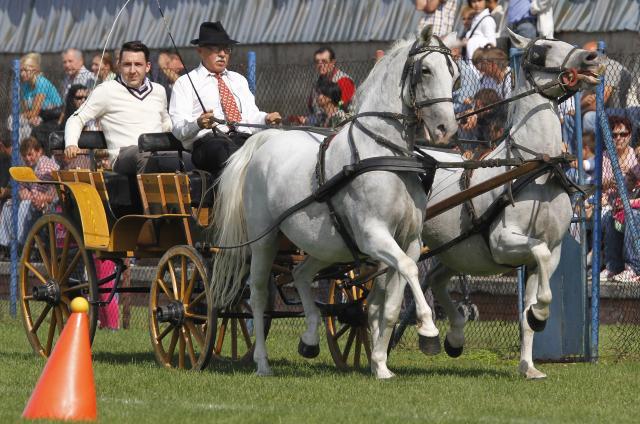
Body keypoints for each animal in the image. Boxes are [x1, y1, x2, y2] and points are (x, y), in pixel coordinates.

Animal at [210, 26, 460, 378]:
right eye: (425, 70)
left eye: (454, 75)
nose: (446, 129)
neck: (386, 155)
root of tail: (267, 139)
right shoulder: (373, 236)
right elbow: (410, 272)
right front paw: (428, 331)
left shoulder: (408, 241)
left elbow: (392, 303)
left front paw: (381, 364)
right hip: (264, 241)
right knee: (258, 295)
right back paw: (262, 363)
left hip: (323, 246)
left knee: (300, 274)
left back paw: (310, 340)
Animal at [418, 31, 604, 380]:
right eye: (540, 50)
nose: (590, 58)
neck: (537, 167)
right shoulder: (503, 241)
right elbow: (539, 261)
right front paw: (540, 316)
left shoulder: (552, 248)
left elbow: (533, 299)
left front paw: (529, 364)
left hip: (455, 249)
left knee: (434, 278)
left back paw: (453, 338)